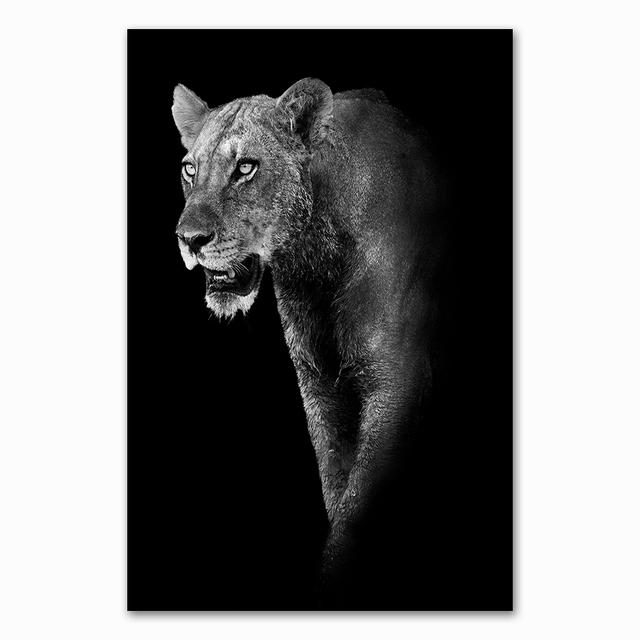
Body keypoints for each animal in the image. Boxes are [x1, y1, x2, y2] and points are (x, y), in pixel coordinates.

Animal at [172, 78, 441, 603]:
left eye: (246, 167)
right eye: (190, 169)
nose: (189, 238)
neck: (314, 261)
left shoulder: (395, 383)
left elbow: (356, 509)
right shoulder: (319, 386)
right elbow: (337, 485)